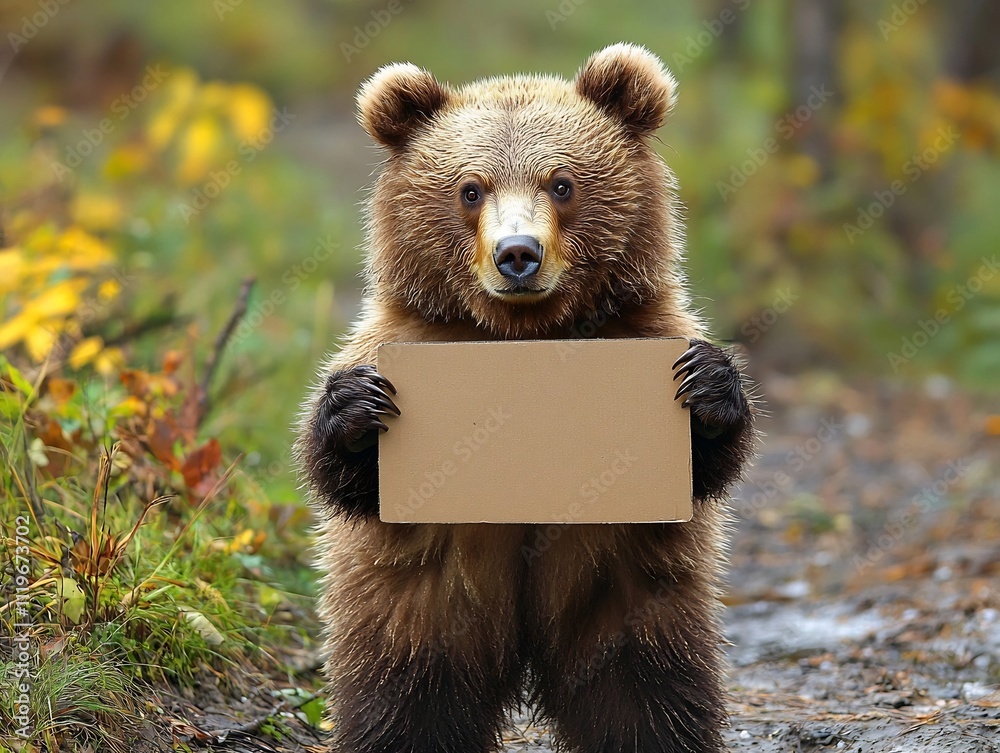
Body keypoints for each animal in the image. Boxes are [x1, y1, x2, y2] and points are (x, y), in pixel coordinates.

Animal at [296, 43, 756, 753]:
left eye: (561, 183)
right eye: (470, 188)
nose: (518, 253)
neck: (523, 334)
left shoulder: (643, 326)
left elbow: (707, 464)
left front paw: (707, 385)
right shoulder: (406, 334)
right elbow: (343, 476)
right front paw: (355, 408)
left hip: (631, 602)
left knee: (649, 697)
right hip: (417, 612)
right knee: (406, 704)